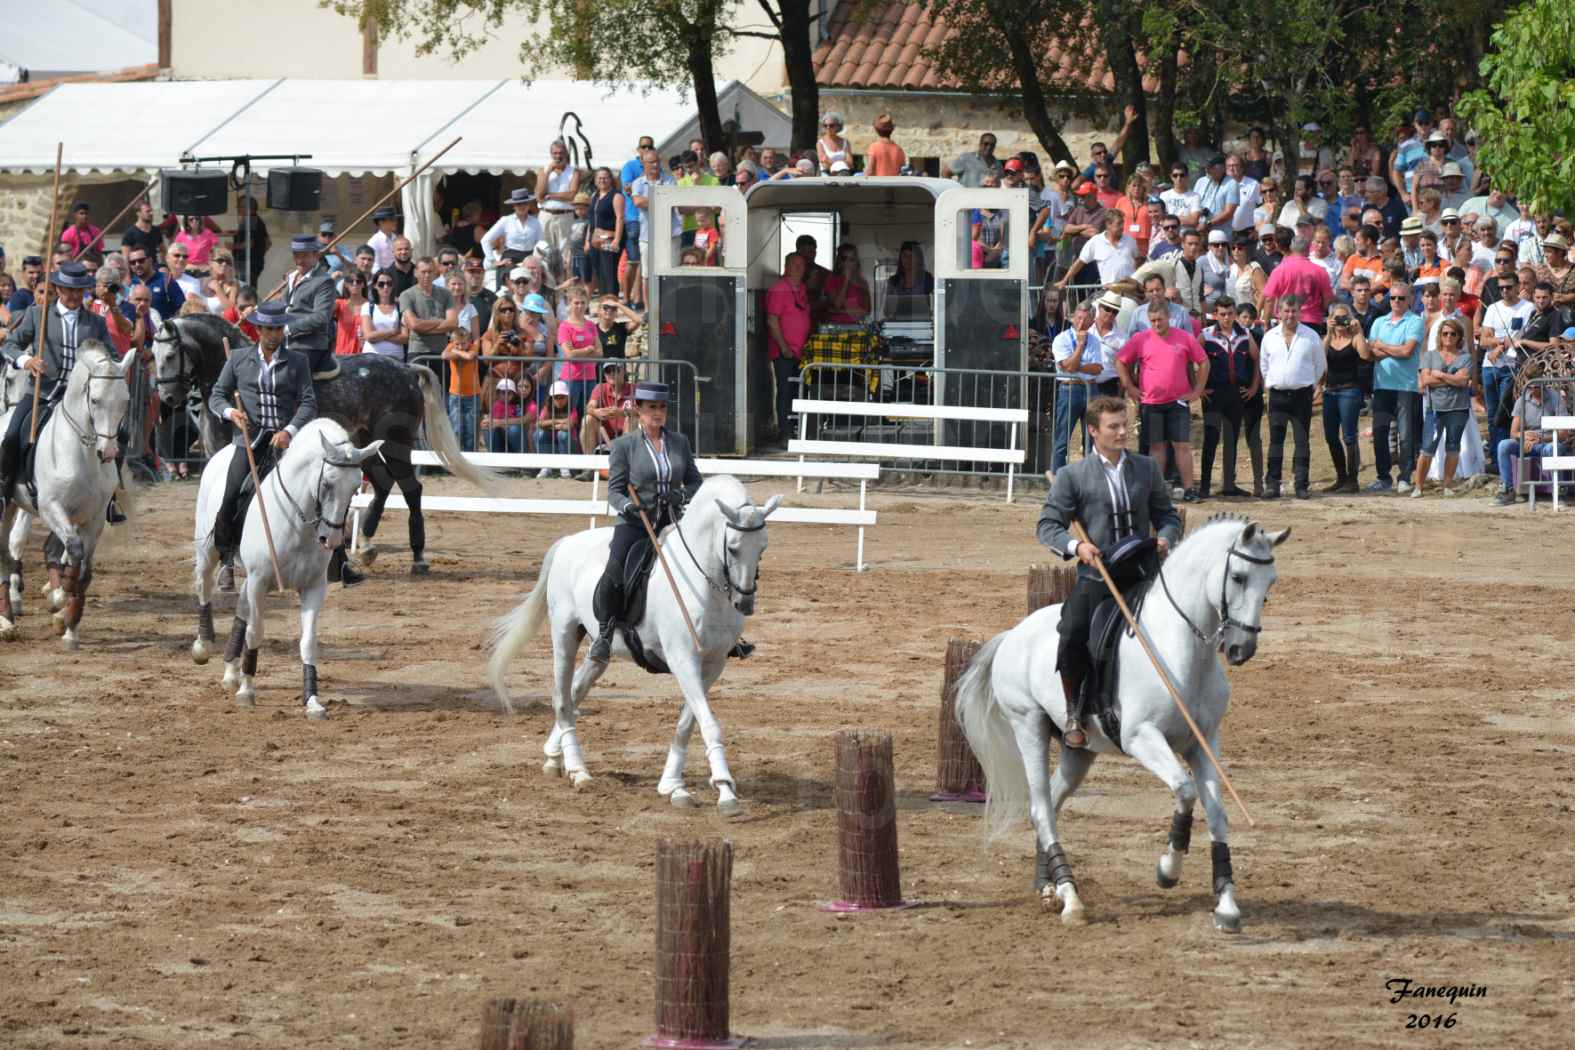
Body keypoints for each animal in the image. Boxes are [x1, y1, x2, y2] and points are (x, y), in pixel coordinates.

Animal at [0, 344, 133, 645]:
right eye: (94, 400)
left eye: (125, 401)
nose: (109, 452)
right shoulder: (51, 507)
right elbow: (72, 549)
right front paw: (61, 601)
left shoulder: (94, 518)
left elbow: (83, 568)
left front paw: (69, 622)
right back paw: (6, 621)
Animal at [151, 314, 491, 576]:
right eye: (153, 356)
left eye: (169, 356)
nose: (167, 399)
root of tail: (407, 369)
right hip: (364, 443)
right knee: (382, 483)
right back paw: (365, 545)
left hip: (396, 442)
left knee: (410, 489)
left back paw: (417, 557)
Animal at [189, 418, 384, 724]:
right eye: (327, 483)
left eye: (355, 488)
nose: (332, 540)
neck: (298, 523)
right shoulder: (259, 581)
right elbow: (256, 631)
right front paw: (247, 691)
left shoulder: (313, 587)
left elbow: (308, 642)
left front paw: (312, 701)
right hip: (210, 551)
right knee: (204, 587)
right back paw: (204, 645)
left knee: (241, 610)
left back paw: (231, 671)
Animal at [488, 475, 778, 812]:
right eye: (732, 548)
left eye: (763, 547)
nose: (744, 603)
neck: (703, 583)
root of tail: (568, 542)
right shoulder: (683, 660)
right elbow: (708, 724)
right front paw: (725, 790)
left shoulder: (713, 665)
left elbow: (687, 724)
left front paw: (672, 786)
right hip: (564, 633)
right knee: (561, 698)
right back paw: (578, 770)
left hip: (598, 649)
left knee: (575, 692)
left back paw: (553, 757)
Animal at [951, 516, 1285, 938]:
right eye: (1239, 577)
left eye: (1270, 582)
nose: (1242, 649)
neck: (1179, 648)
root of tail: (1013, 634)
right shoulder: (1142, 737)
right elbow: (1185, 790)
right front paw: (1168, 870)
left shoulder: (1204, 742)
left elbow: (1216, 812)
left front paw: (1226, 905)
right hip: (1028, 727)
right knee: (1042, 808)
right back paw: (1072, 900)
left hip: (1078, 752)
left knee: (1049, 804)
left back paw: (1048, 887)